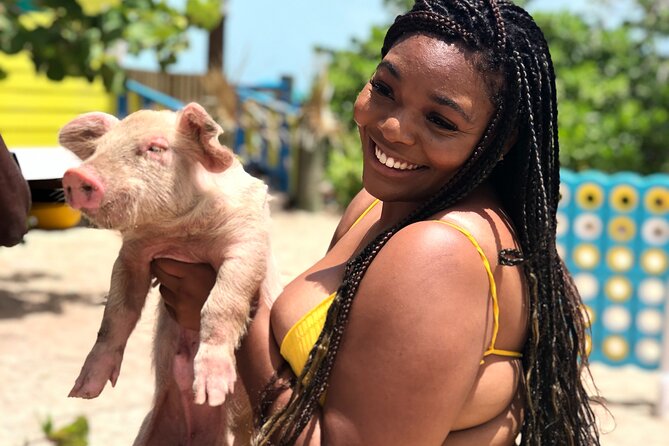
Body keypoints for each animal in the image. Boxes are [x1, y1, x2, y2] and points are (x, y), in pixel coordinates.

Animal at [59, 103, 281, 445]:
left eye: (156, 148)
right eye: (98, 149)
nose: (75, 174)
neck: (180, 234)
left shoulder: (247, 241)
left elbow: (222, 303)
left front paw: (211, 391)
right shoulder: (132, 256)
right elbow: (116, 316)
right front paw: (81, 392)